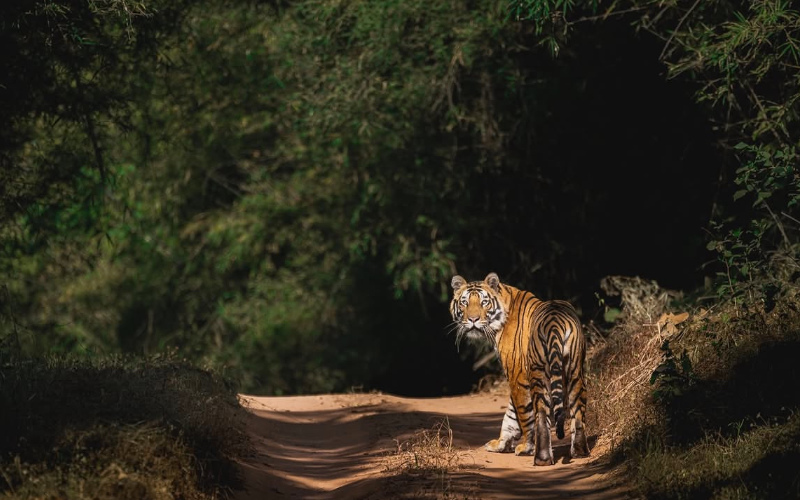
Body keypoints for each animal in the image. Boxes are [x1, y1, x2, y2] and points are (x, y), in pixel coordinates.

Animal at [449, 272, 589, 466]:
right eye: (464, 302)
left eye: (484, 302)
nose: (473, 320)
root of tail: (555, 322)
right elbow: (510, 415)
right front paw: (500, 443)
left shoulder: (517, 374)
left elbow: (522, 414)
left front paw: (525, 447)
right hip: (575, 371)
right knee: (578, 414)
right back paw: (580, 452)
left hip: (539, 373)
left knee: (541, 416)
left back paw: (541, 458)